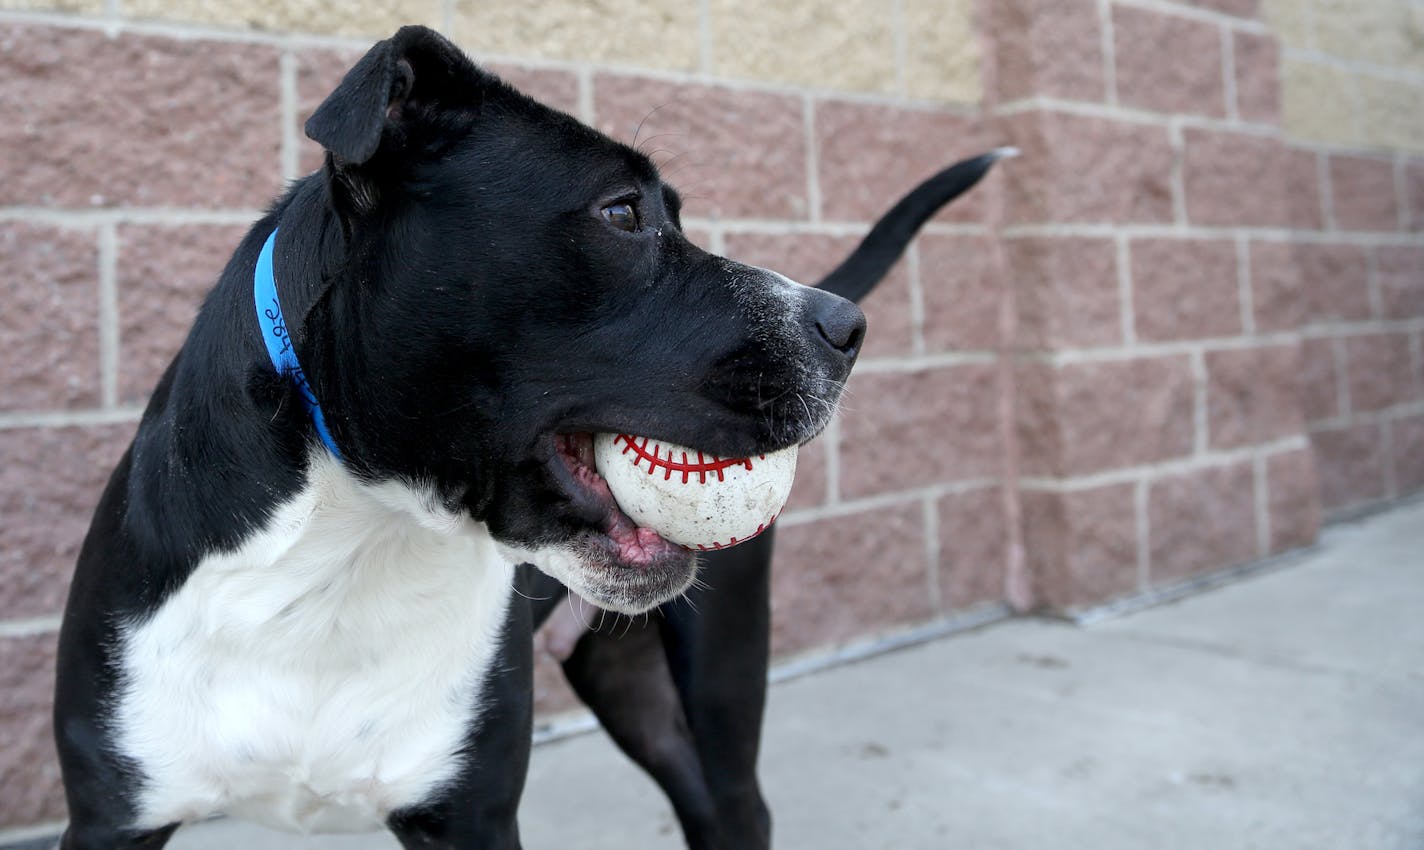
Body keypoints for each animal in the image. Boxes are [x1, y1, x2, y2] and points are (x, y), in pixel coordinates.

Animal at [52, 26, 865, 848]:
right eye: (623, 213)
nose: (847, 325)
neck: (347, 544)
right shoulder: (111, 818)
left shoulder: (473, 815)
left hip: (720, 663)